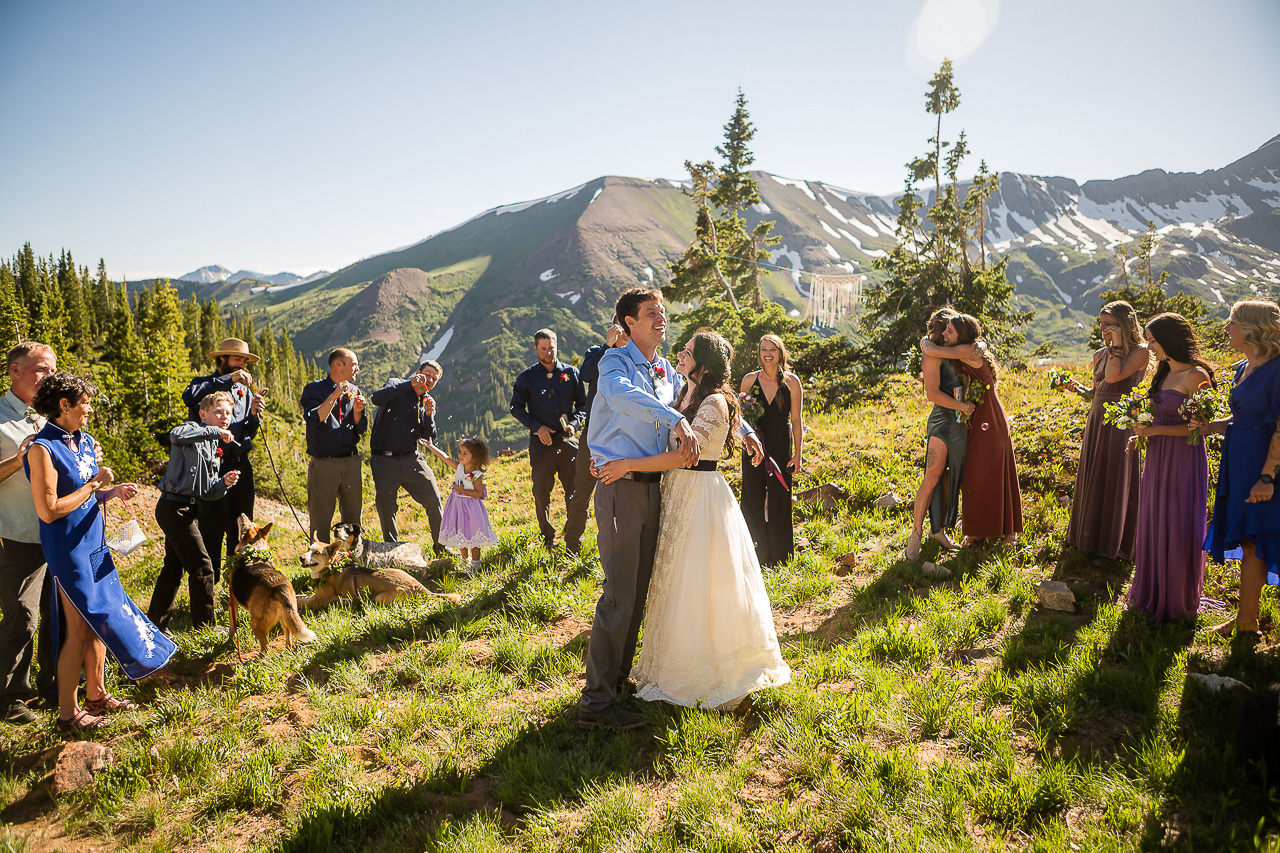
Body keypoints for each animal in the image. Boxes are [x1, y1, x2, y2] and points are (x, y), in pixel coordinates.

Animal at [226, 512, 316, 655]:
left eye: (245, 524)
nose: (242, 514)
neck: (254, 551)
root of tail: (279, 587)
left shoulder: (232, 602)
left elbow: (232, 627)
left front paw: (230, 640)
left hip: (256, 624)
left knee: (265, 647)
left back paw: (258, 658)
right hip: (287, 615)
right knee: (288, 636)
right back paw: (288, 650)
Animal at [296, 535, 463, 607]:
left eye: (317, 552)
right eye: (308, 549)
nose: (301, 558)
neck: (331, 568)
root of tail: (422, 589)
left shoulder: (318, 600)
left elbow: (301, 602)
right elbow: (300, 596)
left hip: (380, 597)